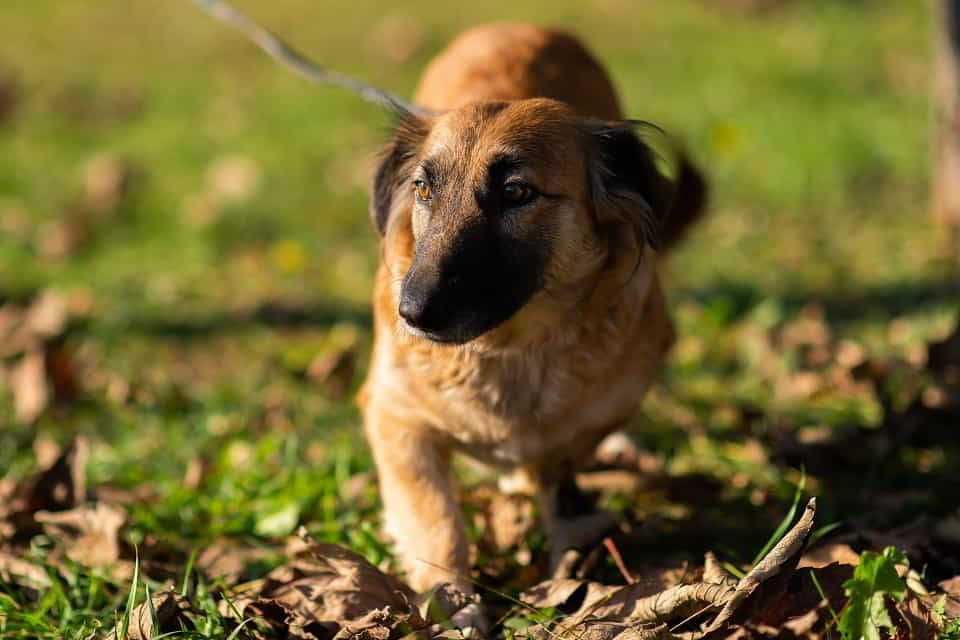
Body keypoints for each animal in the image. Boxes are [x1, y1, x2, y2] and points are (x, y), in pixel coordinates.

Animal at [358, 21, 704, 608]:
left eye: (516, 192)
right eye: (423, 188)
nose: (412, 312)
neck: (510, 350)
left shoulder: (601, 407)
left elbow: (559, 467)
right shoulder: (395, 418)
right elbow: (436, 520)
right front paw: (453, 602)